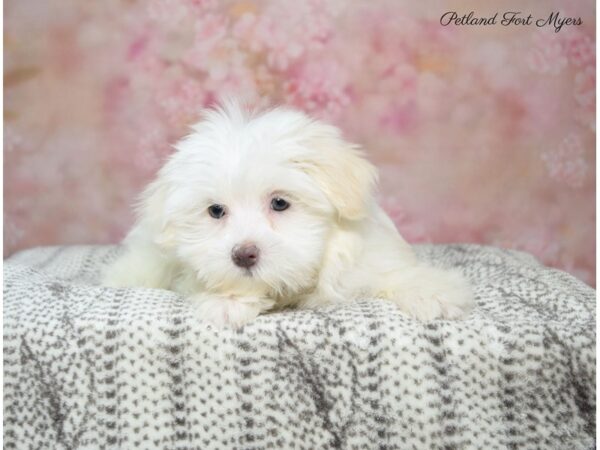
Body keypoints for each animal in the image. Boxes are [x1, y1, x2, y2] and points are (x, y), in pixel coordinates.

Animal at [105, 100, 476, 326]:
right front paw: (227, 301)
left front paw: (430, 291)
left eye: (280, 203)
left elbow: (393, 271)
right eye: (216, 211)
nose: (244, 254)